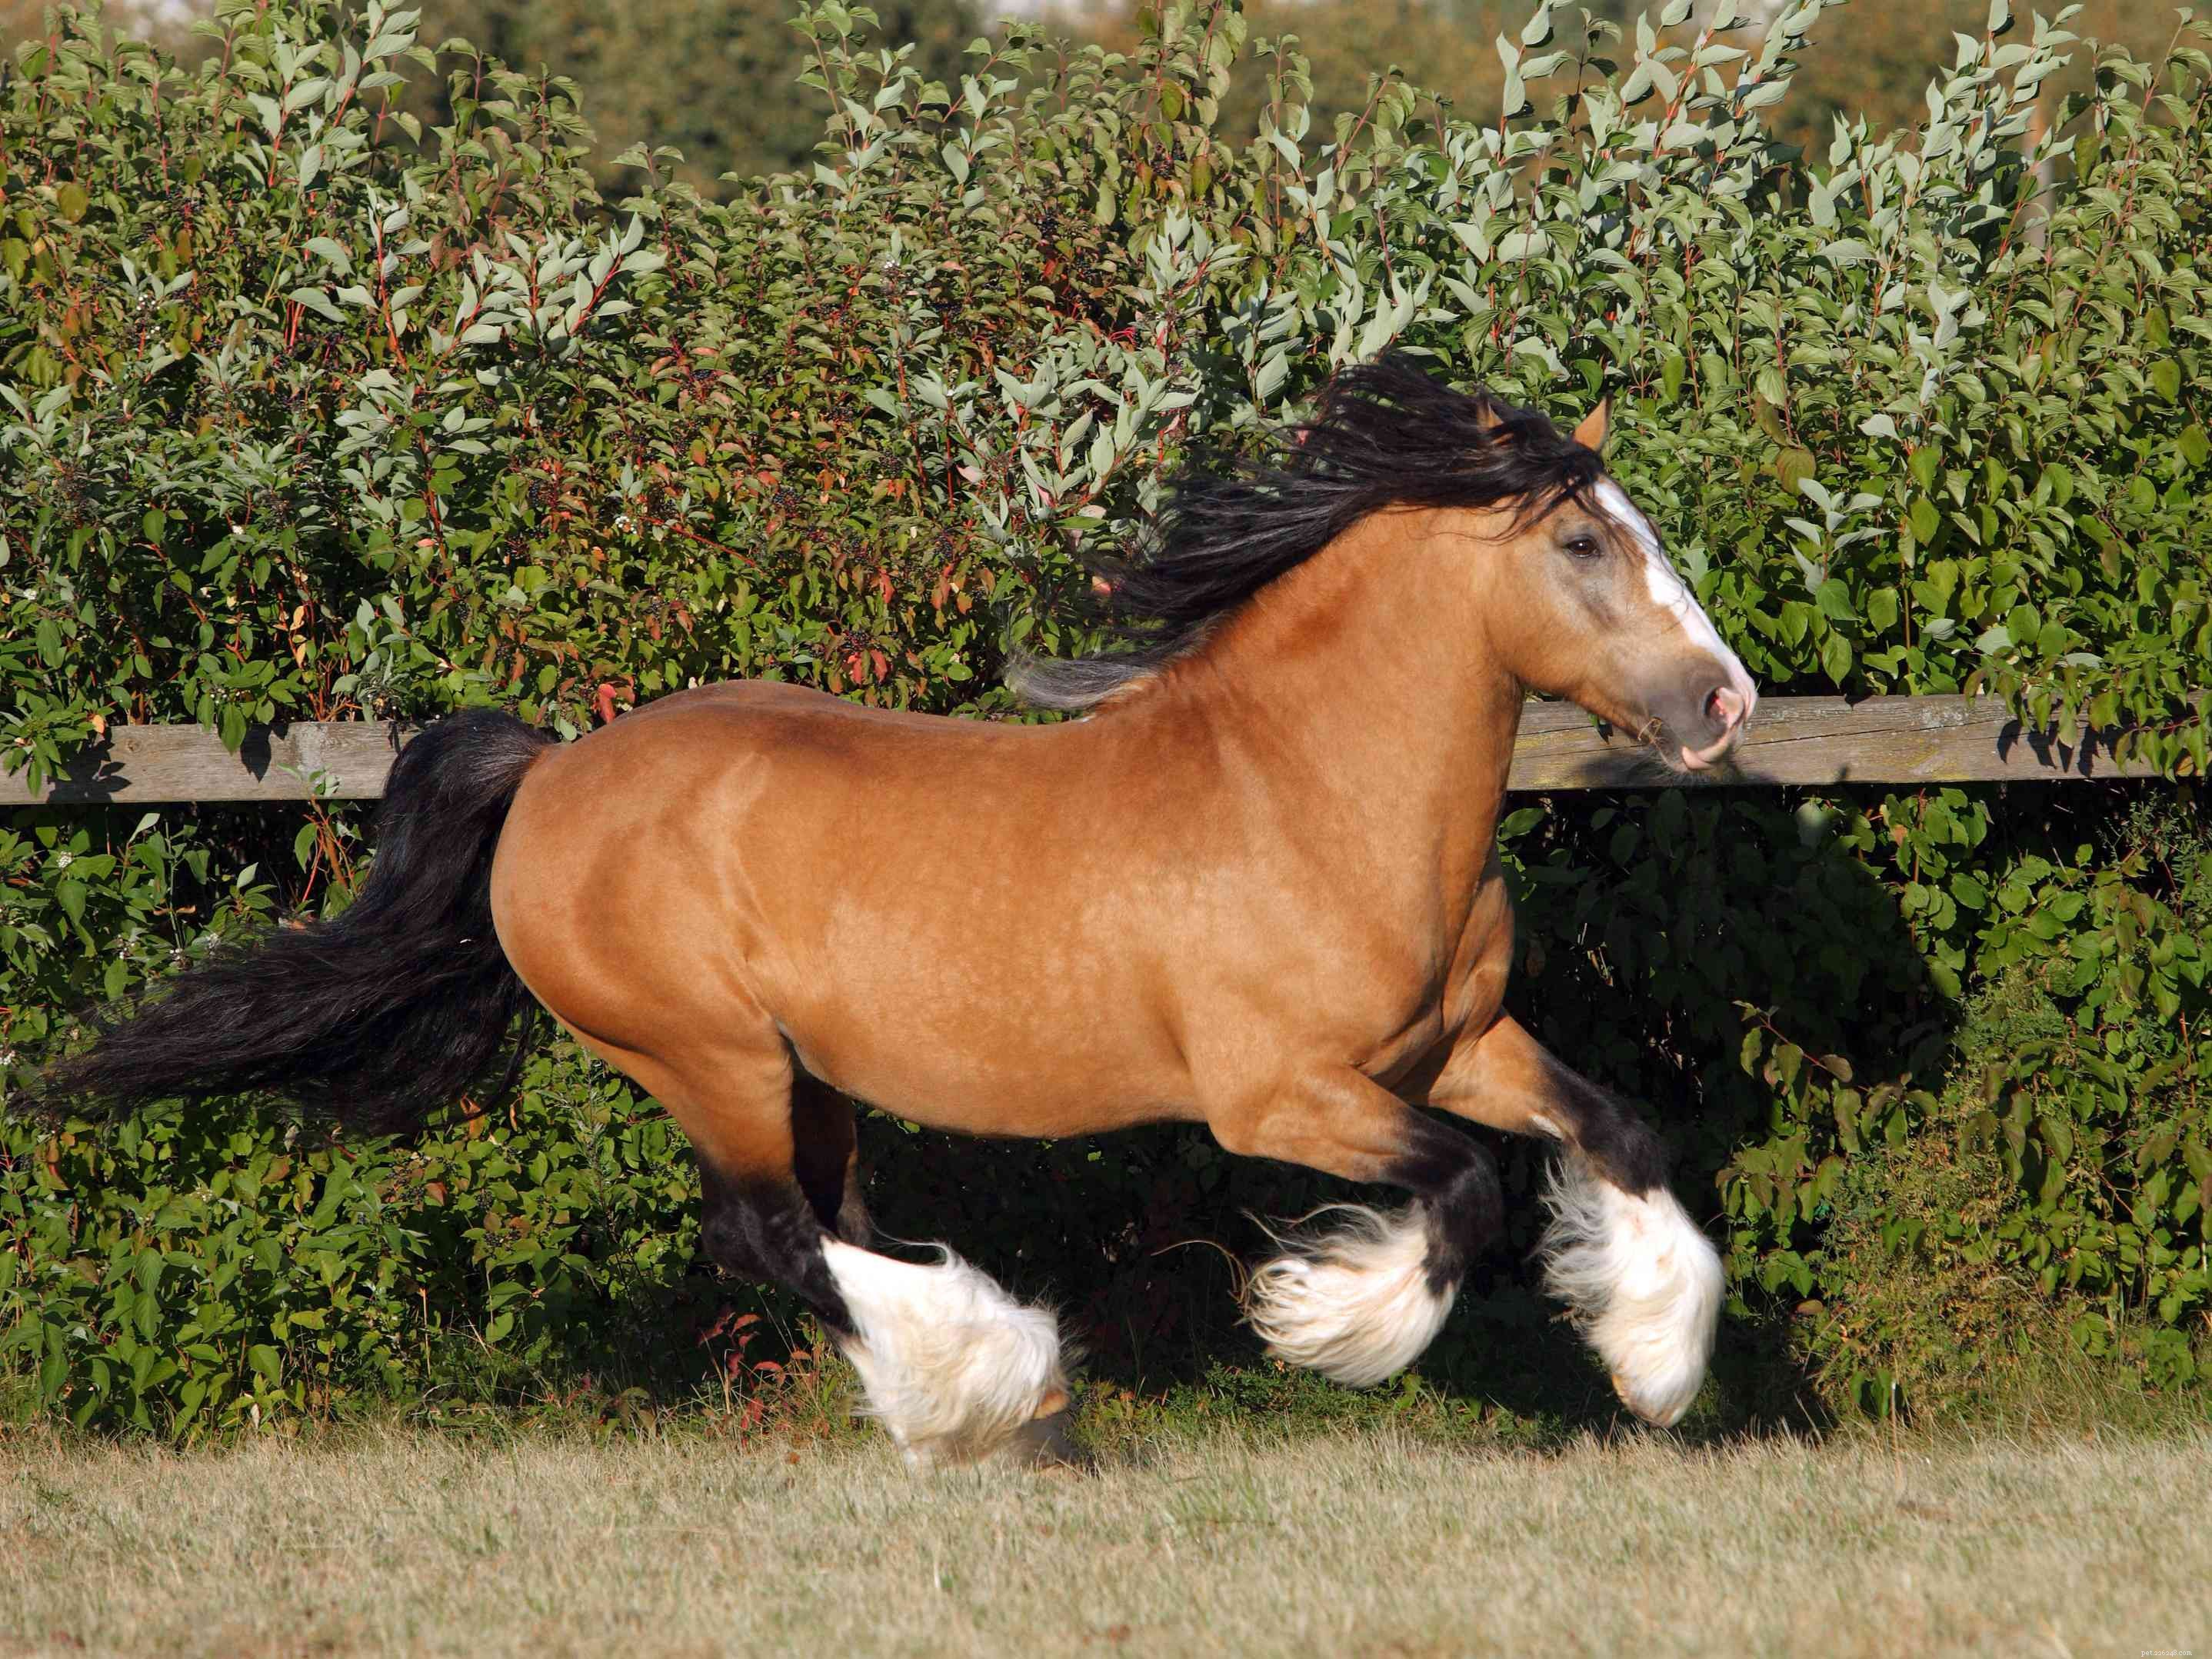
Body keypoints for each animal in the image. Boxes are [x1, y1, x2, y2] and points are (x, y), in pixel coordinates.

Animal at [47, 356, 1758, 1465]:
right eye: (1583, 539)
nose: (1724, 701)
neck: (1303, 791)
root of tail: (549, 773)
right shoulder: (1284, 1097)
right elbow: (1462, 1194)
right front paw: (1331, 1323)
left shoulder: (1456, 1045)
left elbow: (1617, 1131)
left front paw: (1656, 1367)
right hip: (704, 1055)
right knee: (766, 1233)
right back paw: (1000, 1382)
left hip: (804, 1073)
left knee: (830, 1224)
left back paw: (982, 1400)